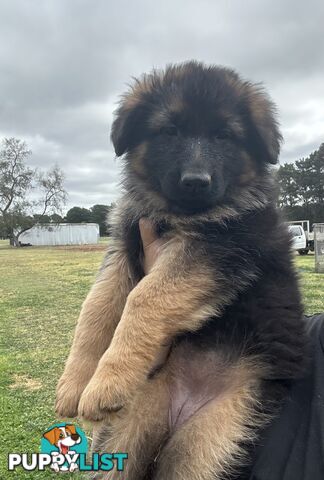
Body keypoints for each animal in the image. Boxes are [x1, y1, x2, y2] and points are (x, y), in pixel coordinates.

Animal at [56, 62, 308, 478]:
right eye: (169, 131)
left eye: (224, 135)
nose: (195, 182)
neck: (178, 213)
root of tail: (181, 407)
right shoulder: (124, 247)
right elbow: (96, 307)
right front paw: (75, 384)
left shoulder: (217, 249)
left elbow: (144, 298)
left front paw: (107, 382)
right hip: (130, 425)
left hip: (211, 439)